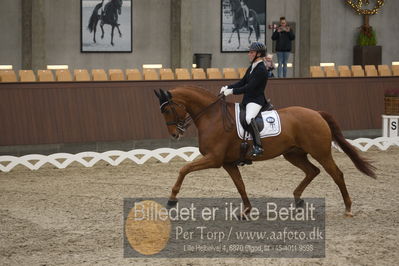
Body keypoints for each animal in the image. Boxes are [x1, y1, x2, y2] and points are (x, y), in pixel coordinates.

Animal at [155, 86, 376, 217]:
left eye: (166, 110)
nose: (175, 134)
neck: (212, 116)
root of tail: (316, 113)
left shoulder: (214, 159)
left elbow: (184, 169)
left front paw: (172, 199)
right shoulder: (227, 163)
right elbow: (240, 185)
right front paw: (246, 210)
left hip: (320, 153)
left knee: (336, 174)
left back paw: (348, 208)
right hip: (293, 154)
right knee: (312, 171)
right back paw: (298, 200)